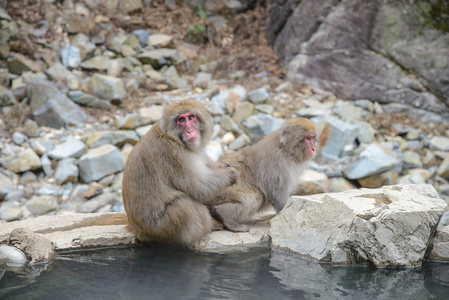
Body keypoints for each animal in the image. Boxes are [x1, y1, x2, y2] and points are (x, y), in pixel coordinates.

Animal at [119, 99, 238, 247]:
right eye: (181, 120)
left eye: (191, 118)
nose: (190, 130)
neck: (173, 137)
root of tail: (137, 230)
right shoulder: (175, 155)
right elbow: (198, 187)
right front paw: (231, 173)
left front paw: (223, 165)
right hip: (161, 228)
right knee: (183, 203)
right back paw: (209, 227)